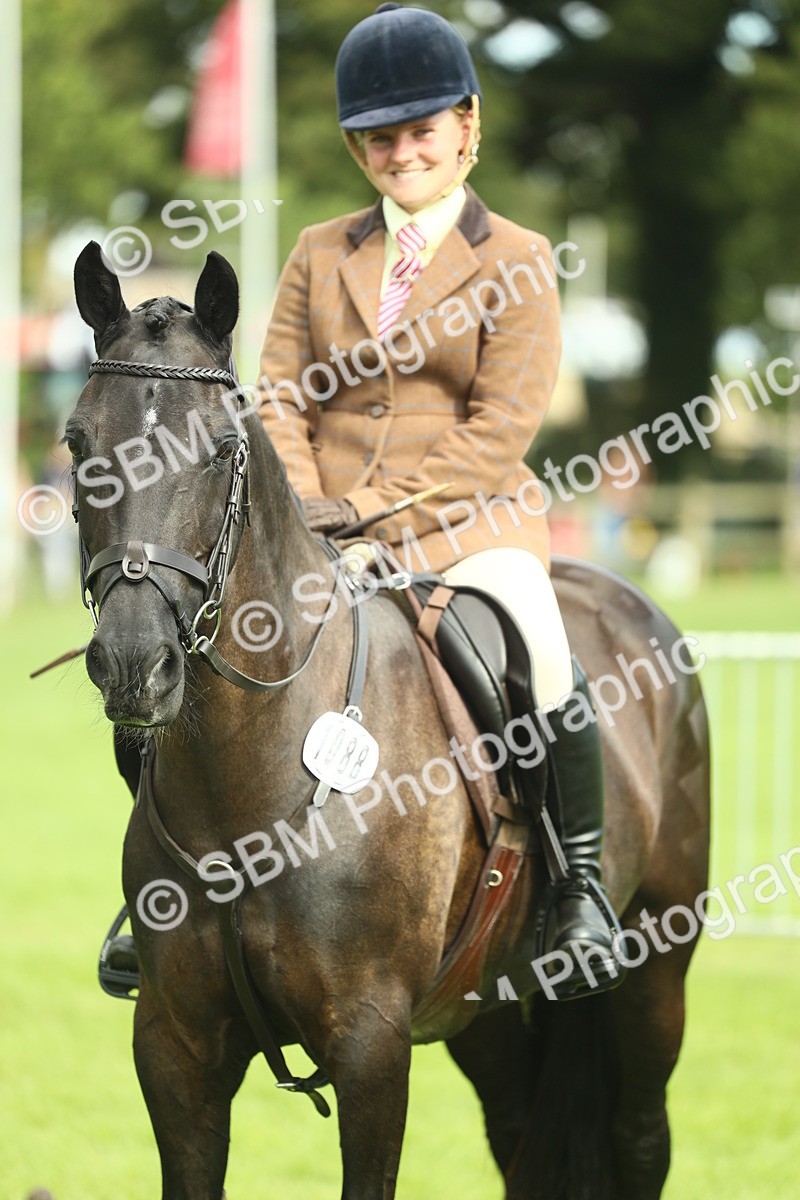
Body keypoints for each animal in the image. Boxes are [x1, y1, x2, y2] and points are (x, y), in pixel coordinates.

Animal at [68, 240, 710, 1200]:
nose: (135, 663)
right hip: (490, 1009)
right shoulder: (175, 1051)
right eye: (78, 443)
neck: (246, 778)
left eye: (222, 450)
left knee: (639, 1138)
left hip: (656, 977)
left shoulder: (371, 1044)